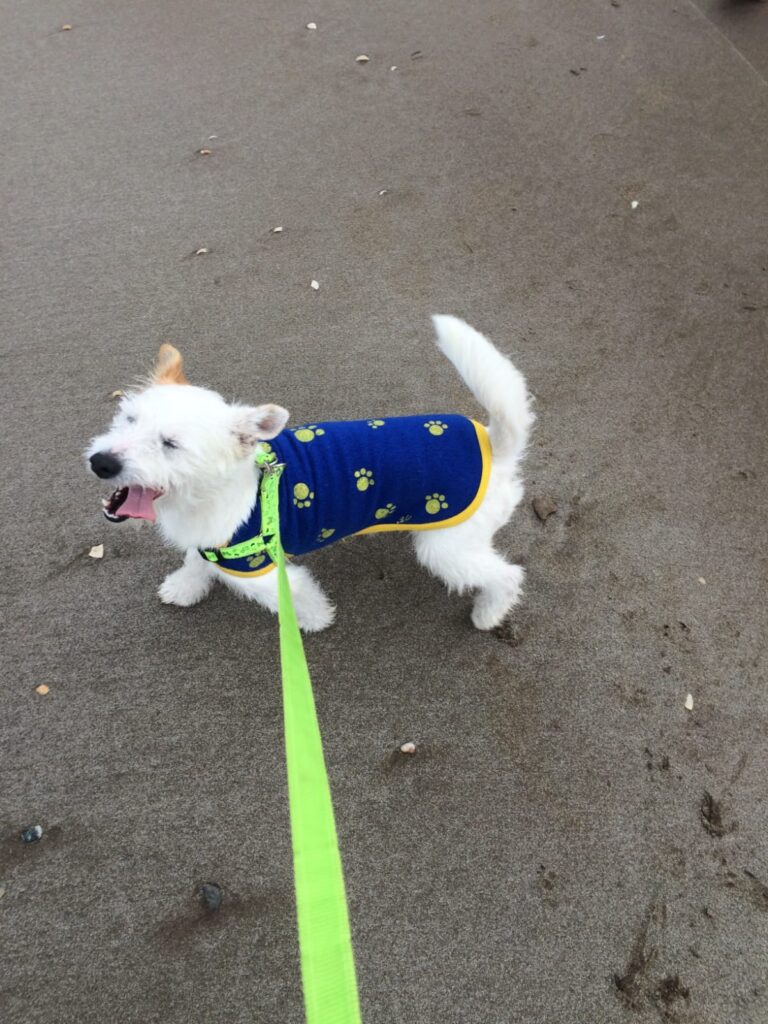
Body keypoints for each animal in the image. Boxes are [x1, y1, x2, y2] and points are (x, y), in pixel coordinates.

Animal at [82, 315, 528, 626]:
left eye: (171, 444)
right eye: (129, 419)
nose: (101, 463)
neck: (208, 494)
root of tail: (495, 444)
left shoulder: (261, 571)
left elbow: (297, 599)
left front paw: (315, 622)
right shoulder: (208, 544)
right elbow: (196, 562)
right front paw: (184, 587)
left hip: (447, 549)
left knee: (509, 575)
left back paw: (488, 615)